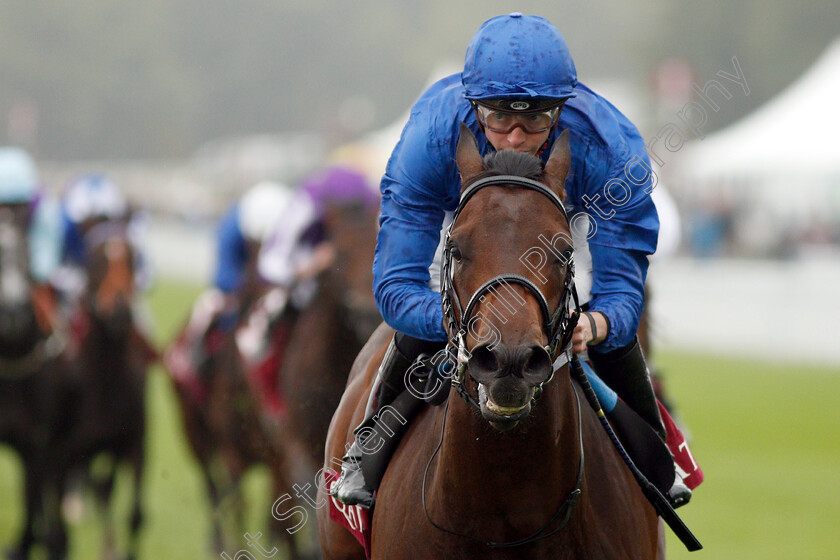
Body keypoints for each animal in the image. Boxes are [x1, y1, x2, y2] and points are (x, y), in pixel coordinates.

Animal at [62, 218, 156, 560]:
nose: (119, 311)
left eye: (132, 256)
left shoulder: (135, 442)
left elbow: (136, 514)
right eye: (96, 259)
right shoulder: (77, 447)